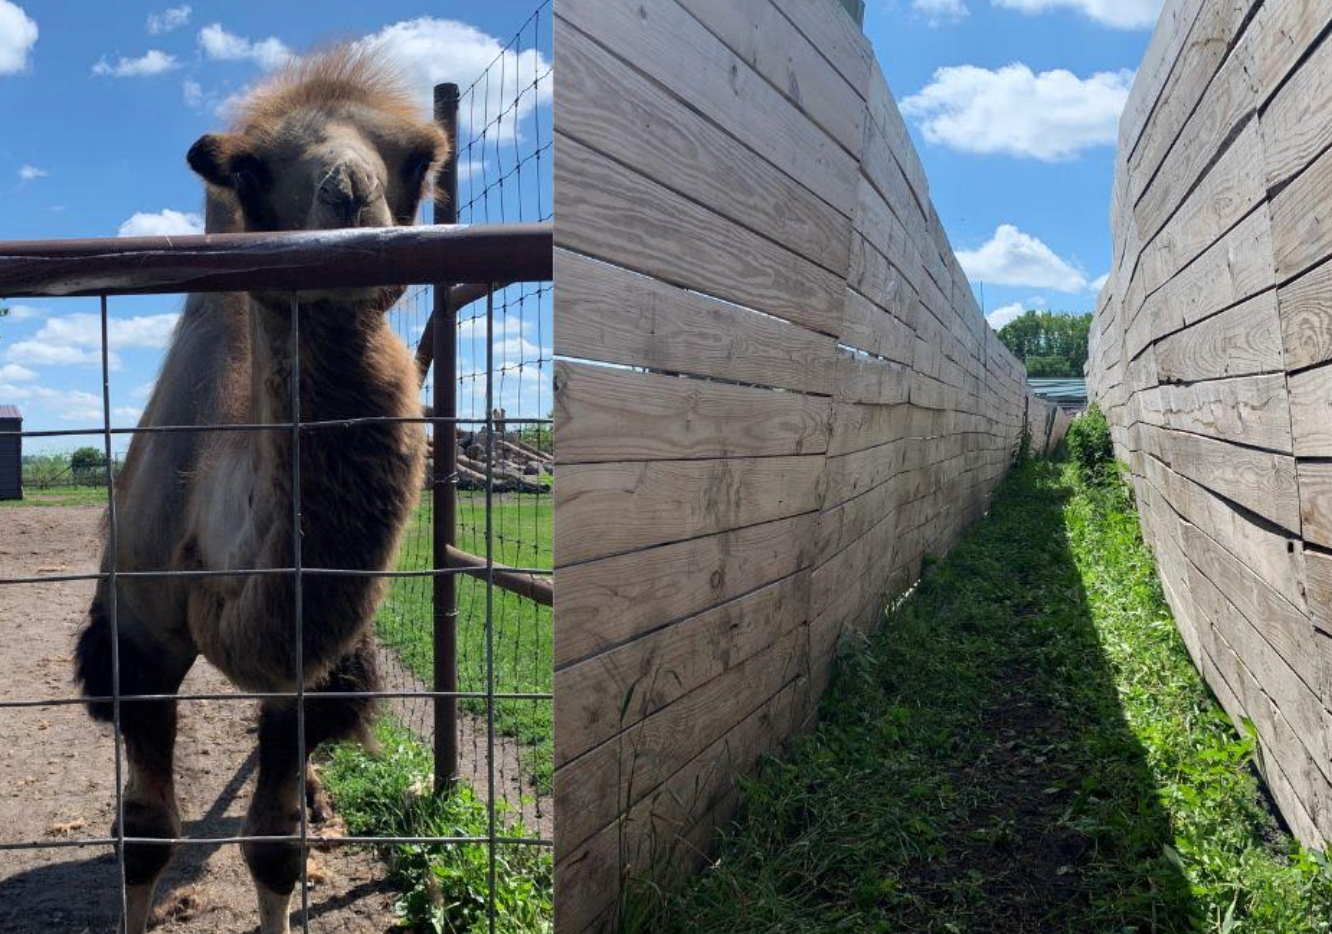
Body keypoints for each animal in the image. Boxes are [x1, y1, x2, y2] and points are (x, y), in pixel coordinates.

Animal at [73, 48, 448, 934]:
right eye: (249, 167)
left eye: (420, 159)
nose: (349, 195)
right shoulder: (137, 640)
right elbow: (146, 833)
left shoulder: (311, 672)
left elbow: (275, 843)